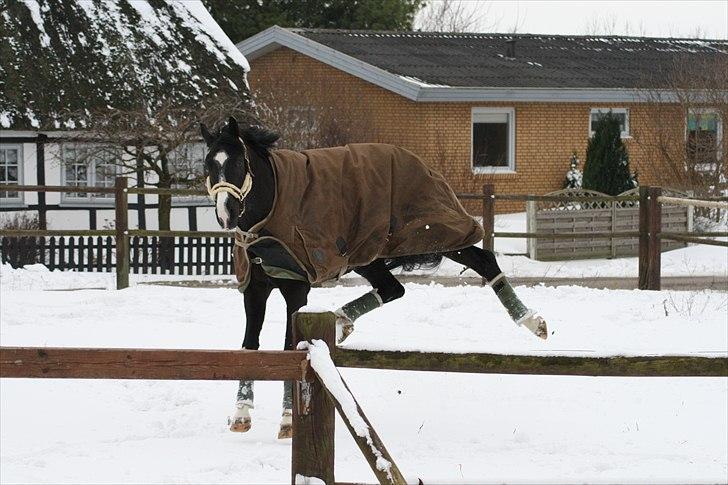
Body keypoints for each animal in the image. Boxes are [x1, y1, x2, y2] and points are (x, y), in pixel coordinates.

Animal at [199, 117, 544, 438]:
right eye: (208, 163)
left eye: (238, 162)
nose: (226, 214)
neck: (272, 208)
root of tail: (421, 162)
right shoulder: (254, 289)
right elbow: (249, 346)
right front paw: (241, 414)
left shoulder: (296, 290)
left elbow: (288, 349)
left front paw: (287, 421)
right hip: (369, 254)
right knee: (392, 288)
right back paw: (341, 322)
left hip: (431, 236)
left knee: (483, 261)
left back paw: (532, 320)